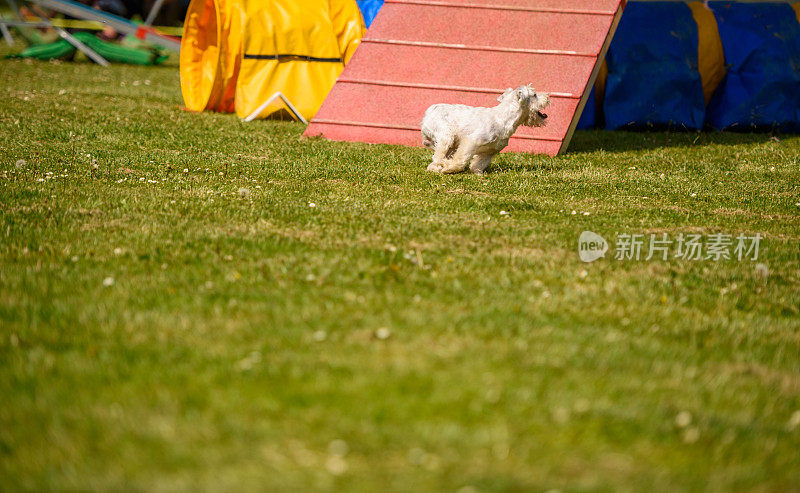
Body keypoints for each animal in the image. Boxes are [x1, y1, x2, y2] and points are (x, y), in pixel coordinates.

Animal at [418, 84, 552, 175]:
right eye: (534, 95)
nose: (547, 96)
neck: (503, 118)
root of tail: (428, 113)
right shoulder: (471, 141)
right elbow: (461, 159)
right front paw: (450, 168)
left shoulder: (490, 150)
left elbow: (479, 163)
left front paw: (477, 173)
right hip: (447, 136)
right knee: (438, 156)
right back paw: (440, 165)